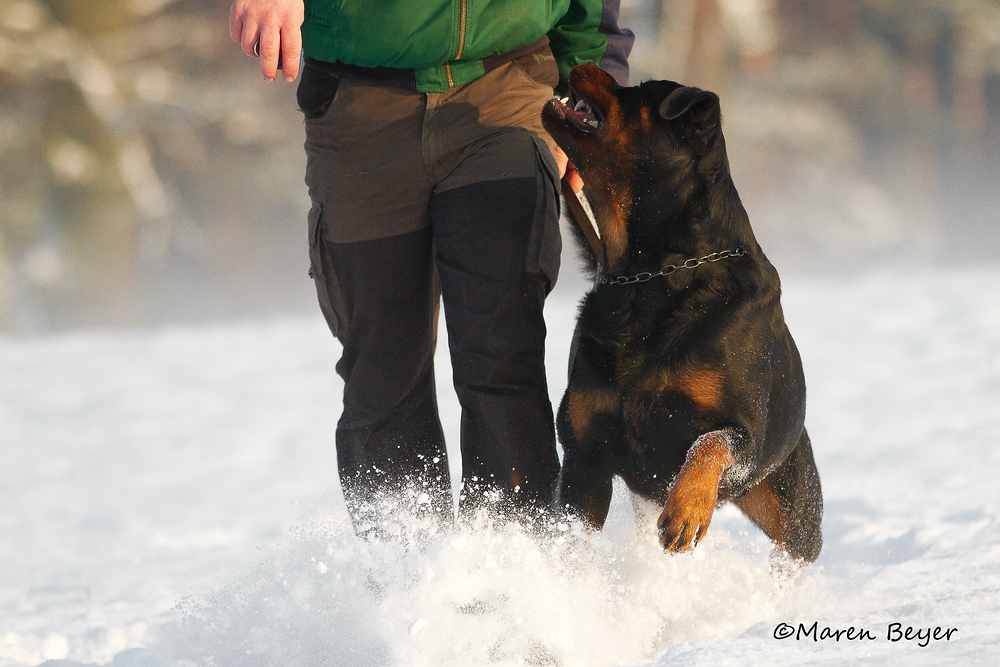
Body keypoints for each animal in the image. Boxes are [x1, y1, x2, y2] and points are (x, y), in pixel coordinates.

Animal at [544, 64, 824, 564]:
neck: (647, 278)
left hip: (794, 505)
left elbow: (712, 442)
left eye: (638, 90)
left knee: (796, 552)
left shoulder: (747, 438)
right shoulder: (583, 453)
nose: (585, 64)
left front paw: (687, 511)